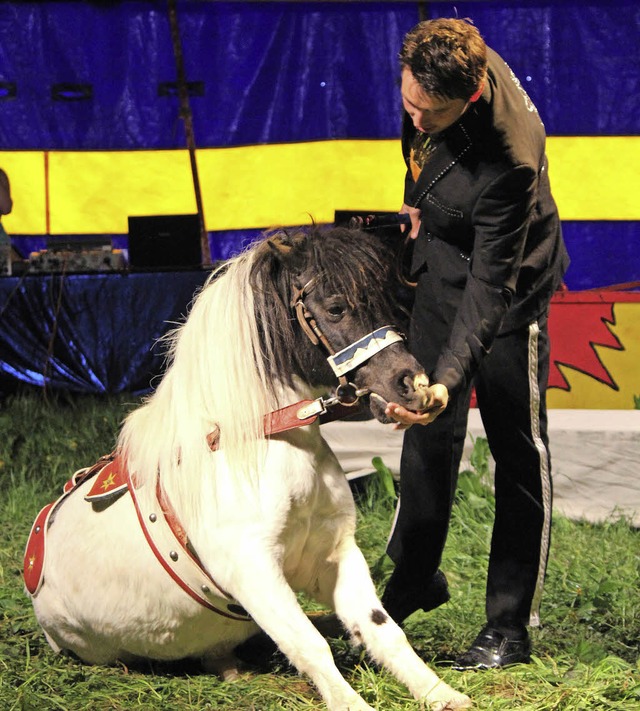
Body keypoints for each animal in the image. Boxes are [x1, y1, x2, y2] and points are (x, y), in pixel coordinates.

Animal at [25, 225, 470, 708]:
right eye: (336, 307)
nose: (416, 386)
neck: (262, 442)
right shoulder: (254, 571)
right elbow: (309, 644)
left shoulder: (333, 555)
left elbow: (382, 629)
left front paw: (441, 694)